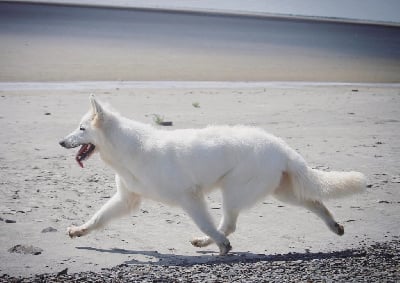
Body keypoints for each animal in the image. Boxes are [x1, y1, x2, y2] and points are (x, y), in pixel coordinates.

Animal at [58, 96, 366, 256]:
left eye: (82, 129)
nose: (61, 142)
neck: (129, 148)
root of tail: (282, 146)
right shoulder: (126, 199)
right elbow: (98, 218)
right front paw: (79, 231)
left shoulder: (190, 198)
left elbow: (206, 223)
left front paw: (217, 242)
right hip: (282, 191)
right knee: (315, 202)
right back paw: (335, 226)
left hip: (234, 192)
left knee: (227, 225)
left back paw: (216, 245)